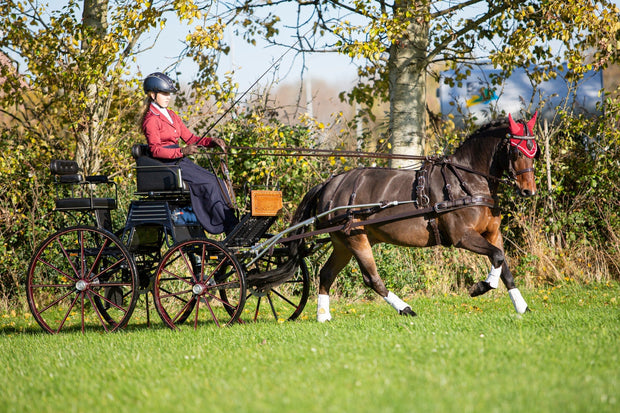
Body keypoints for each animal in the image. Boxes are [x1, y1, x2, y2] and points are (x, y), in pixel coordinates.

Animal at [290, 112, 536, 322]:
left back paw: (323, 316)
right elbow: (497, 257)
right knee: (371, 278)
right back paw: (405, 309)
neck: (467, 181)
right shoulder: (463, 237)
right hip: (355, 238)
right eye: (517, 152)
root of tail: (329, 184)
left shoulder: (493, 233)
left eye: (535, 152)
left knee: (326, 274)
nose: (529, 191)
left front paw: (522, 307)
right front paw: (481, 287)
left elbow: (504, 266)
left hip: (343, 243)